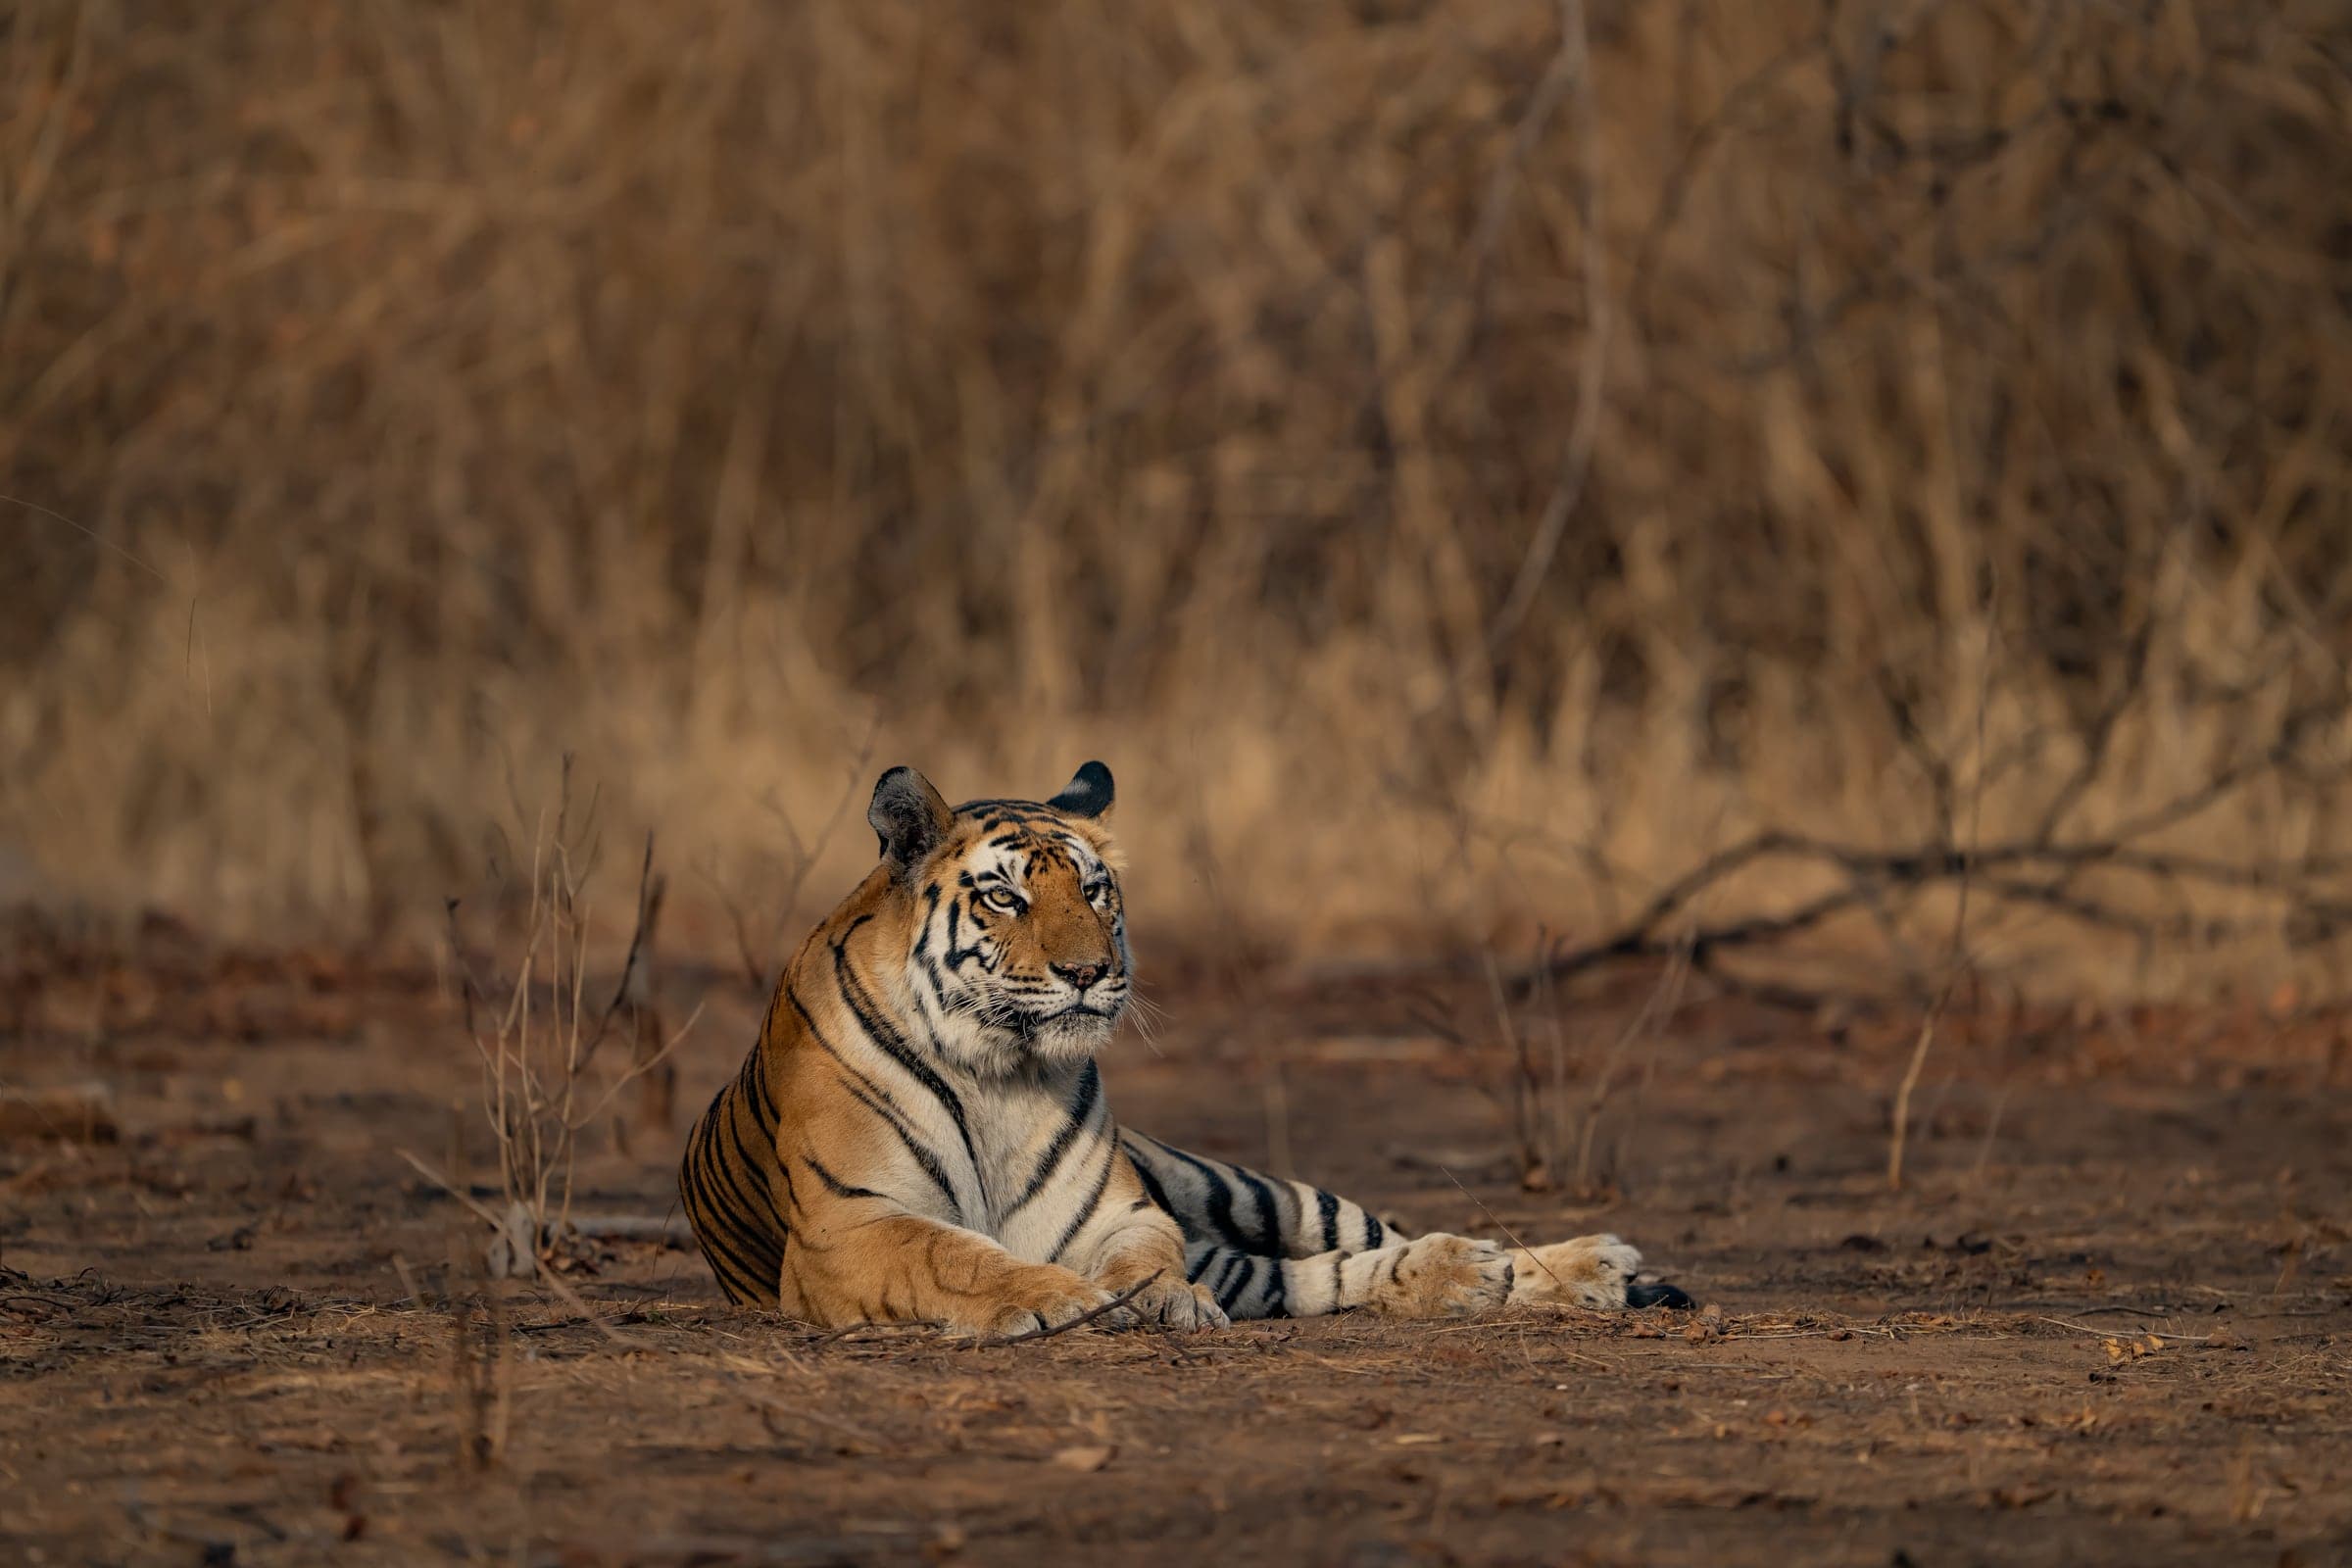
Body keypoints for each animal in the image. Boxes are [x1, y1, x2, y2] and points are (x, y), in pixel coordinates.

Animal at [680, 761, 1691, 1335]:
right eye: (1005, 897)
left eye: (1094, 890)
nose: (1088, 972)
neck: (1000, 1069)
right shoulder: (848, 1226)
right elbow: (956, 1254)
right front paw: (1061, 1298)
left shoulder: (1119, 1213)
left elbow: (1148, 1257)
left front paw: (1157, 1300)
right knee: (1313, 1278)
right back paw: (1485, 1277)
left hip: (1236, 1185)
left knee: (1362, 1240)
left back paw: (1570, 1265)